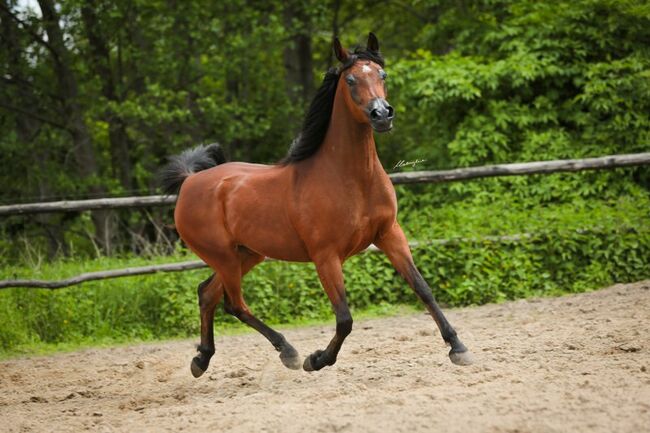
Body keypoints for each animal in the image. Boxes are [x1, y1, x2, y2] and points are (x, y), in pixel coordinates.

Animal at [161, 33, 470, 374]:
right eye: (350, 79)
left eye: (382, 74)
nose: (382, 115)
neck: (352, 179)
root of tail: (190, 181)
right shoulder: (326, 256)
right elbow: (345, 318)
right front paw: (318, 359)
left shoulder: (389, 234)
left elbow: (422, 288)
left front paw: (457, 347)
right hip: (224, 257)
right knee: (234, 303)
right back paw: (289, 352)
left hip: (247, 254)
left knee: (208, 294)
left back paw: (202, 358)